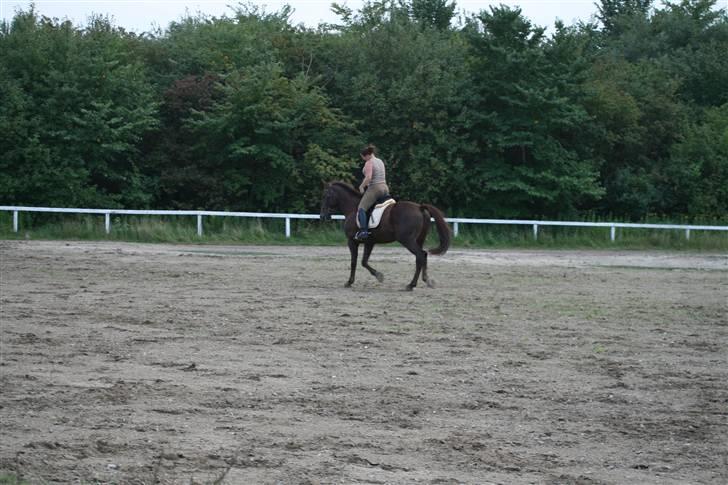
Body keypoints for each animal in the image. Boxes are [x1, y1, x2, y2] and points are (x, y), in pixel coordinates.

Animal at [318, 181, 450, 288]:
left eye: (326, 196)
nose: (322, 216)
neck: (352, 209)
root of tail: (419, 207)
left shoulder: (352, 241)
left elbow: (354, 262)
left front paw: (350, 282)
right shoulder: (369, 242)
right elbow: (364, 261)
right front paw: (378, 275)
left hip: (407, 240)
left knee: (420, 255)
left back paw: (411, 285)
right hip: (419, 239)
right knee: (423, 256)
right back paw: (426, 280)